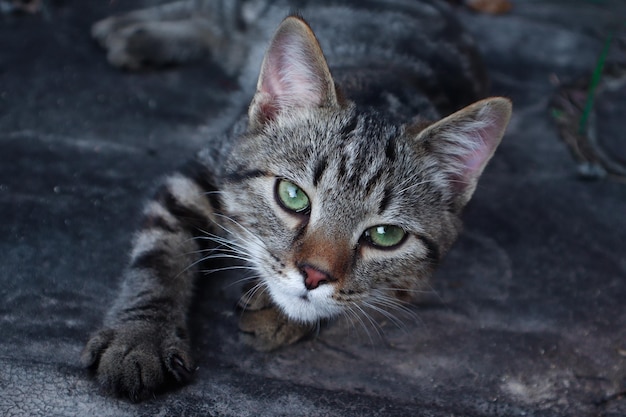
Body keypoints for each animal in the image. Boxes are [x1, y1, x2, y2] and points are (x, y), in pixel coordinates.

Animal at [81, 0, 512, 404]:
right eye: (293, 196)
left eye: (385, 235)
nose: (314, 275)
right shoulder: (197, 177)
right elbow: (159, 258)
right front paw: (140, 338)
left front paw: (282, 317)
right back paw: (129, 31)